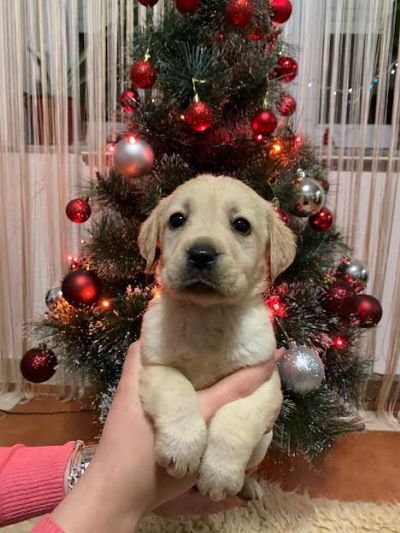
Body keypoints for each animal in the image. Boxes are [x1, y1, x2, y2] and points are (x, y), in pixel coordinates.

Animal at [138, 174, 296, 498]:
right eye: (177, 219)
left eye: (241, 225)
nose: (201, 254)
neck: (206, 315)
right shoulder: (155, 366)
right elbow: (178, 390)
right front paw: (182, 446)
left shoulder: (262, 381)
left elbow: (234, 423)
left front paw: (220, 475)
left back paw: (249, 487)